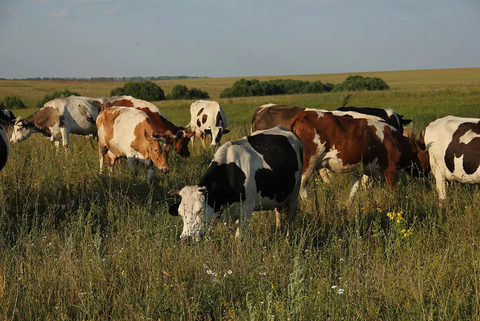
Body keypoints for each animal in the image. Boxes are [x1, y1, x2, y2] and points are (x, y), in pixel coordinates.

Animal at [169, 126, 302, 241]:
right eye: (180, 213)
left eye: (199, 211)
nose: (186, 239)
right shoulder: (216, 209)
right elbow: (209, 233)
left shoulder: (246, 210)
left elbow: (239, 238)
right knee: (278, 210)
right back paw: (278, 232)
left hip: (295, 191)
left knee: (291, 213)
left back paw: (288, 239)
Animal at [286, 109, 430, 201]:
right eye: (428, 156)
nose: (429, 174)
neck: (395, 141)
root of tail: (302, 115)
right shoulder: (391, 171)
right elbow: (395, 193)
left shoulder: (360, 169)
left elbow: (354, 190)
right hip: (309, 162)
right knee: (302, 186)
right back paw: (309, 205)